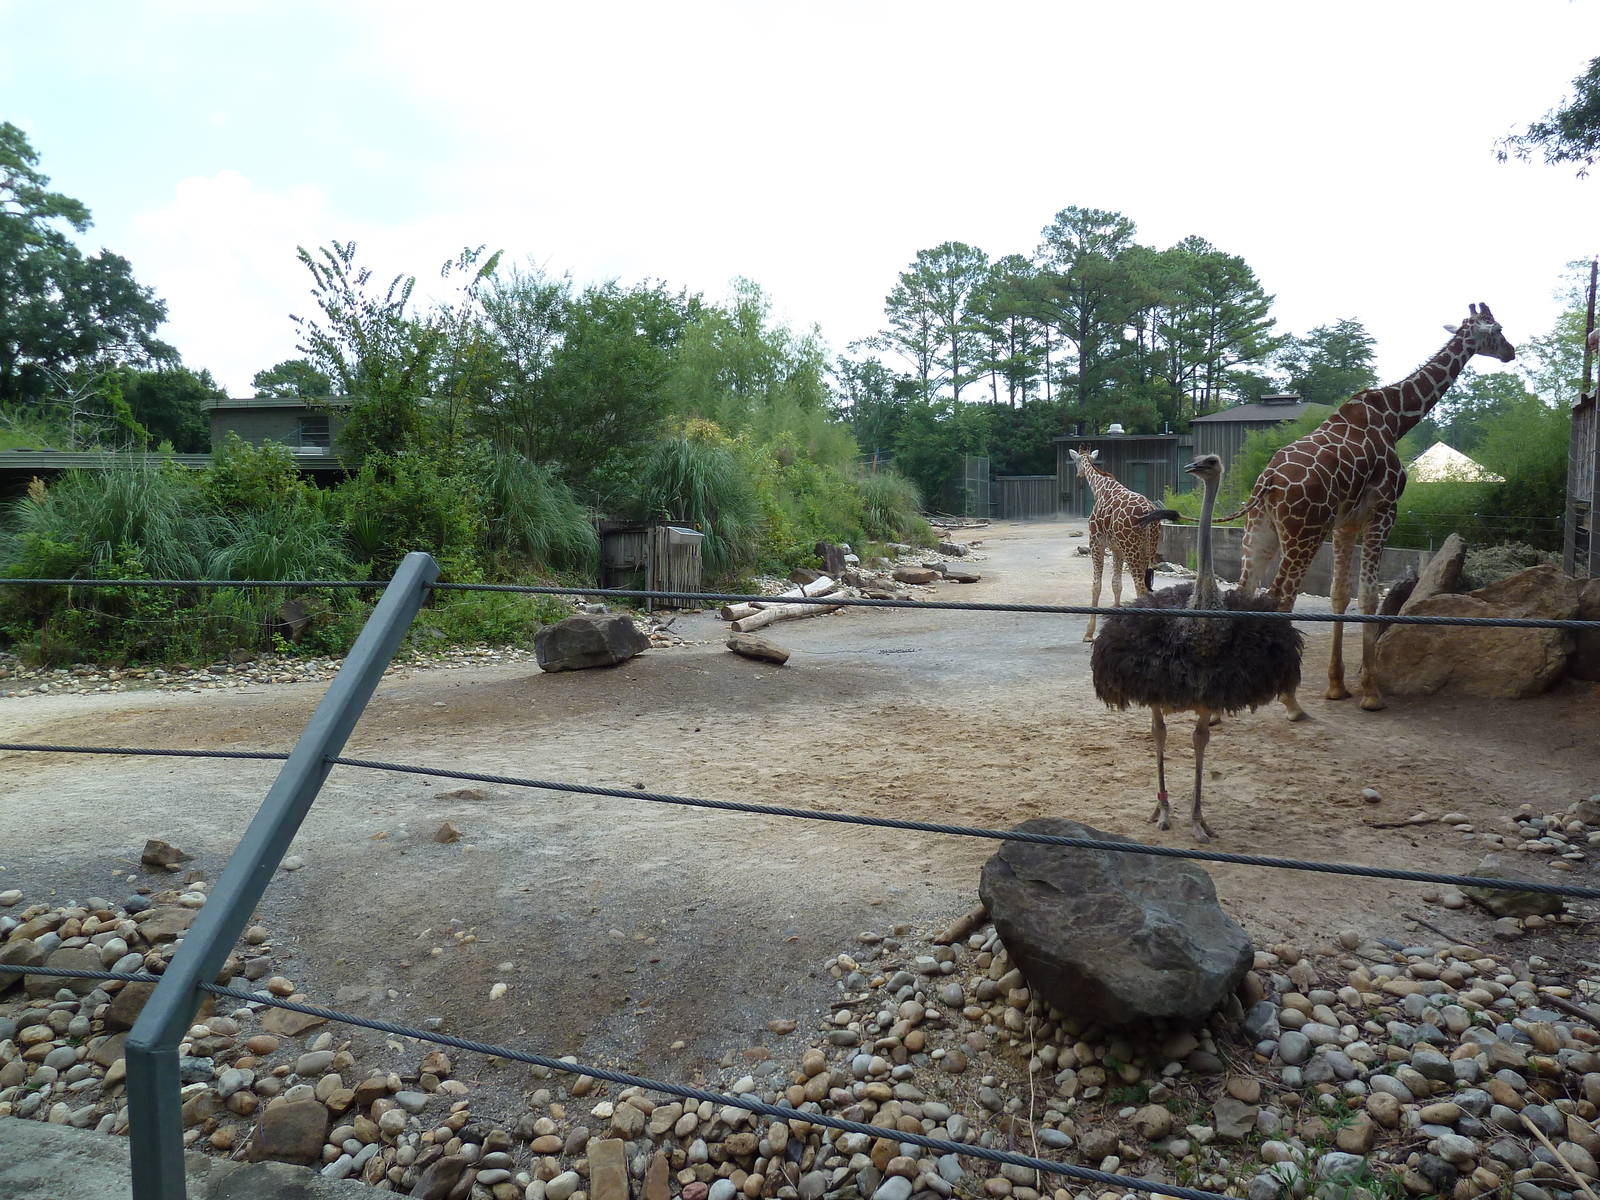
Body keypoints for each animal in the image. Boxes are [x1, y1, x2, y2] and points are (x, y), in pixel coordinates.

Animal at [1070, 448, 1164, 641]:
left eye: (1076, 461)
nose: (1078, 474)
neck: (1100, 487)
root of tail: (1149, 511)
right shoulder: (1116, 548)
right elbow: (1116, 584)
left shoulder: (1096, 543)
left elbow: (1096, 585)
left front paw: (1089, 633)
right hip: (1148, 549)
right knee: (1147, 588)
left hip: (1132, 548)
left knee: (1140, 588)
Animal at [1235, 302, 1515, 718]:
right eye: (1496, 330)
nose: (1511, 351)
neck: (1396, 420)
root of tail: (1268, 481)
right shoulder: (1384, 511)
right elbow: (1368, 596)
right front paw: (1370, 693)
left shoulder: (1345, 523)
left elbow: (1340, 594)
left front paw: (1337, 687)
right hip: (1304, 533)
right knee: (1281, 595)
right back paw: (1290, 700)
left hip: (1261, 530)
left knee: (1244, 589)